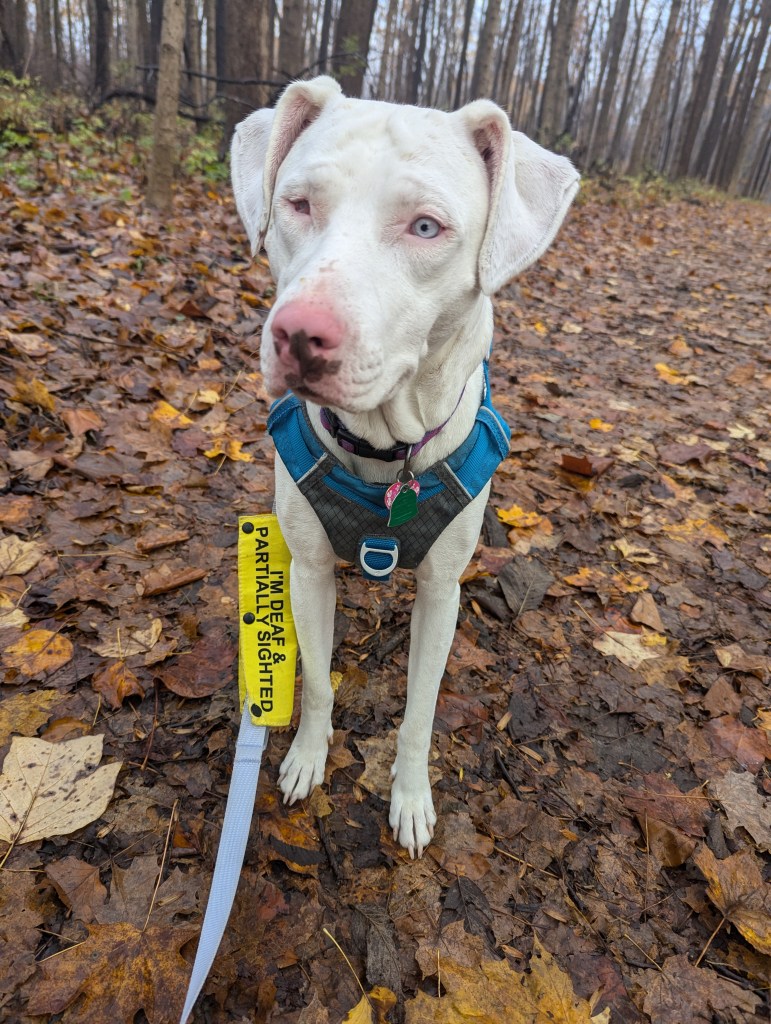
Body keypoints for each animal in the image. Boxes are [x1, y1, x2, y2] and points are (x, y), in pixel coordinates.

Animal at [230, 75, 577, 856]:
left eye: (425, 227)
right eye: (298, 203)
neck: (387, 452)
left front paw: (411, 796)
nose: (298, 335)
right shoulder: (307, 571)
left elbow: (420, 709)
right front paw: (307, 757)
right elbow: (318, 680)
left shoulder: (441, 592)